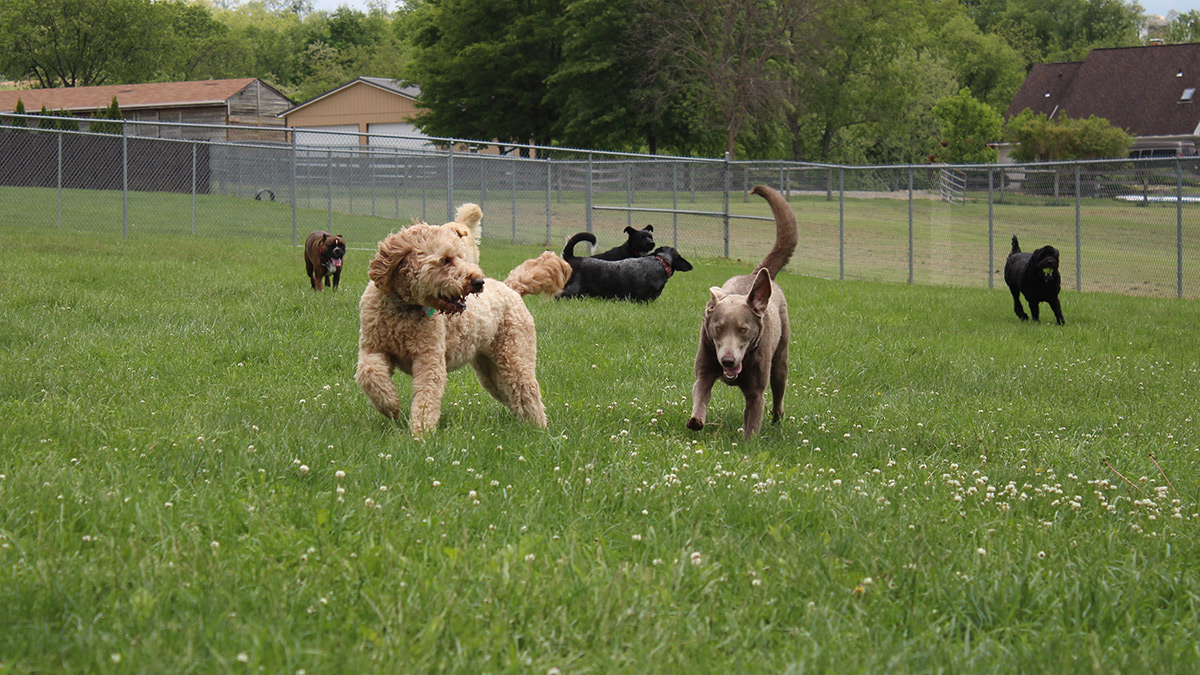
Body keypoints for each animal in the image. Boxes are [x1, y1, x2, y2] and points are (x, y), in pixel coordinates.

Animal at [352, 199, 568, 432]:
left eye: (461, 256)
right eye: (445, 260)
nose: (478, 282)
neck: (403, 307)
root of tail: (510, 287)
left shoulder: (429, 359)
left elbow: (426, 397)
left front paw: (421, 432)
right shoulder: (372, 348)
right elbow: (368, 374)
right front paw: (390, 405)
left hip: (515, 355)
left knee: (527, 390)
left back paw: (539, 429)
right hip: (490, 370)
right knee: (512, 394)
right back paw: (525, 423)